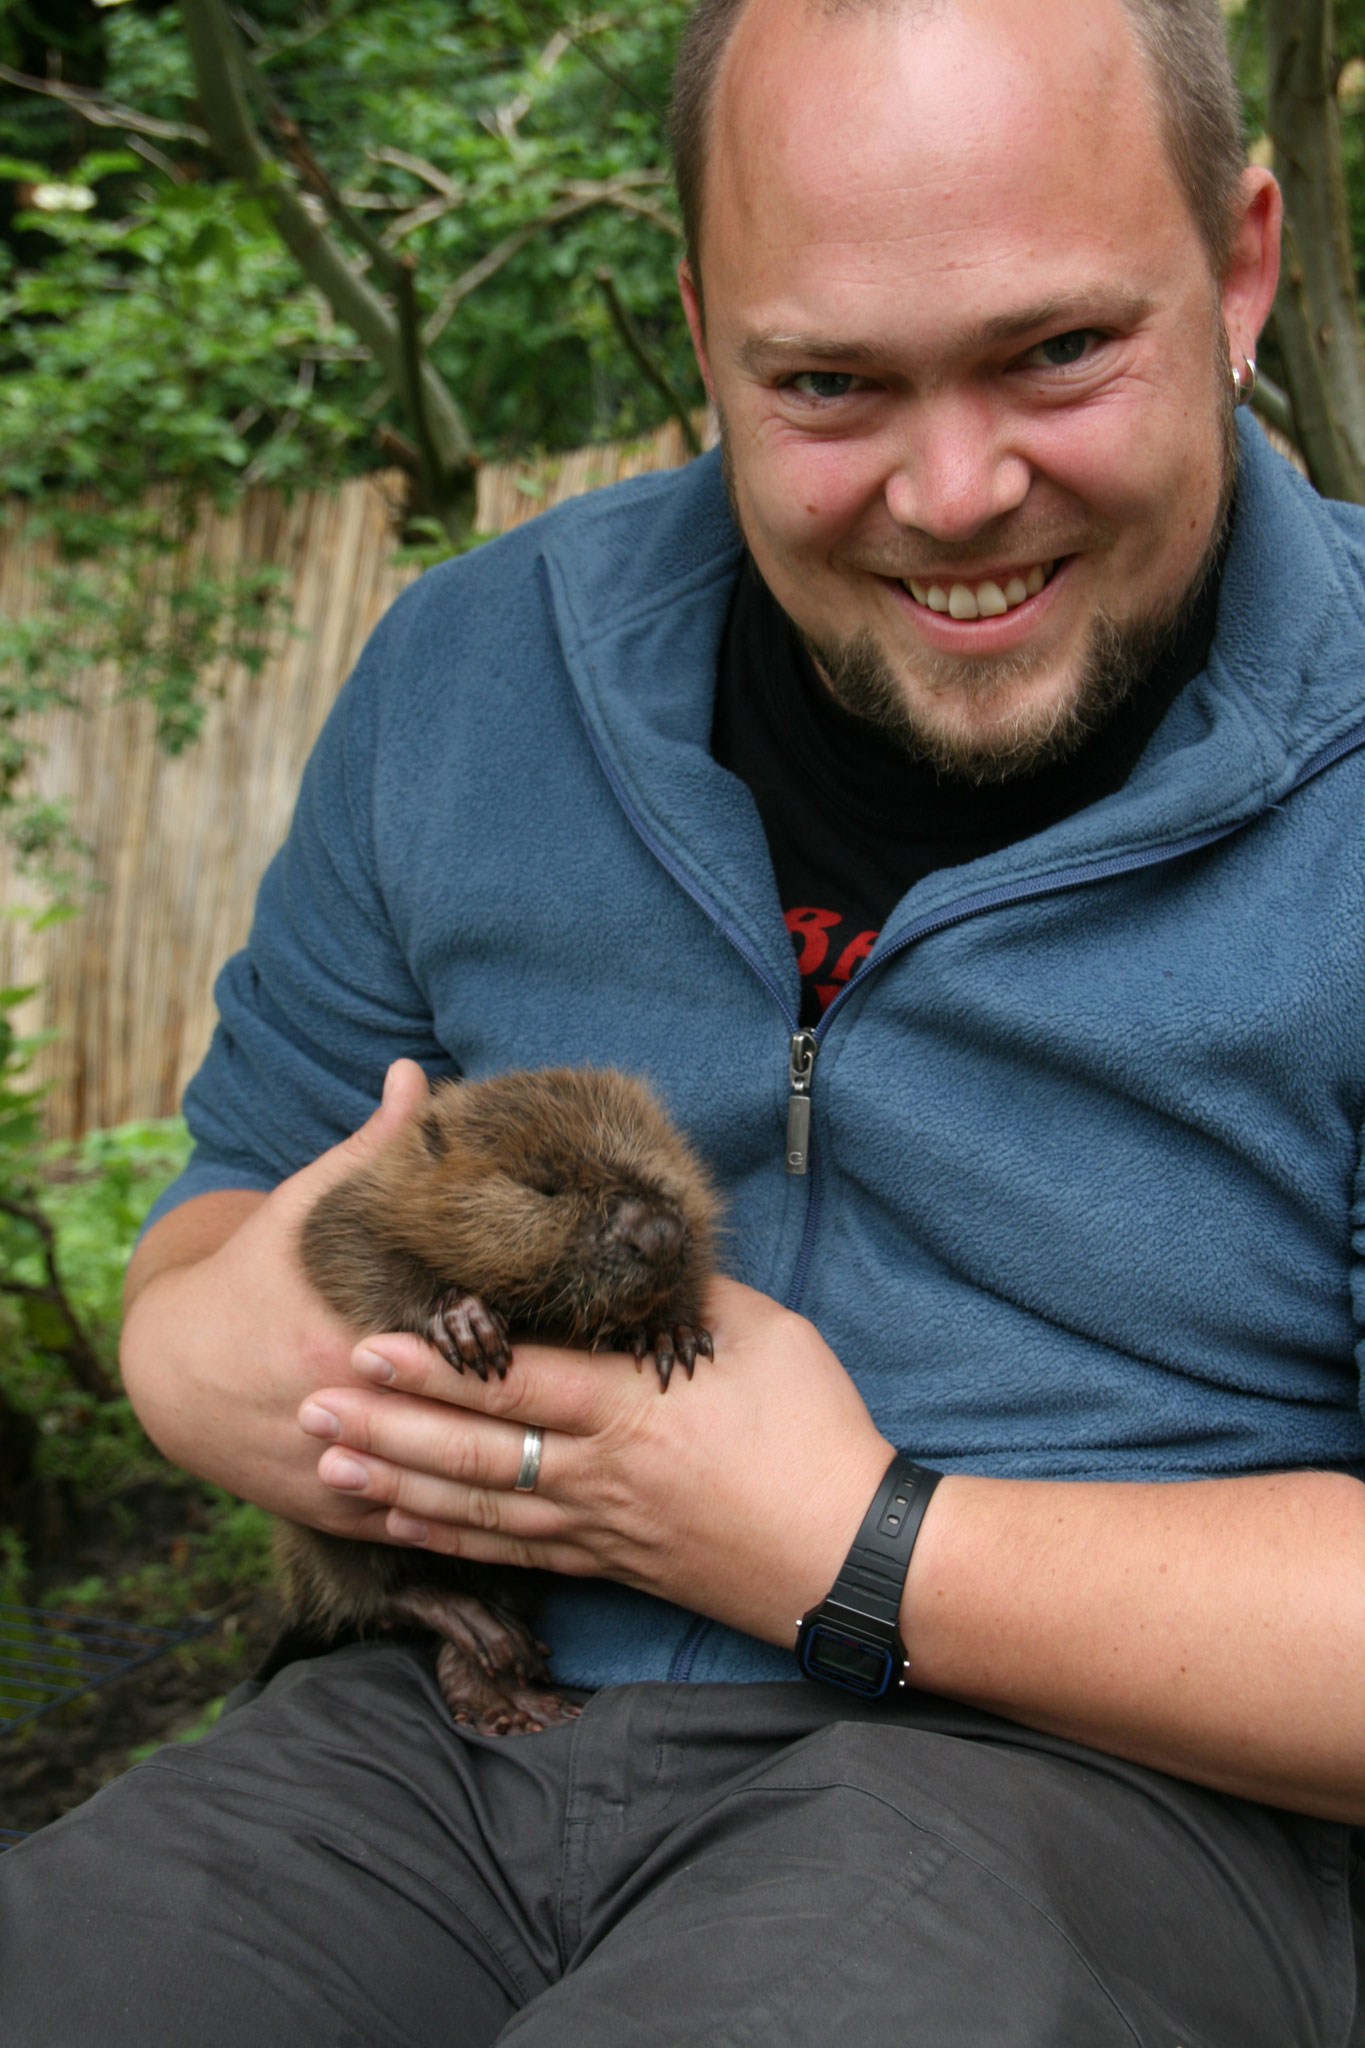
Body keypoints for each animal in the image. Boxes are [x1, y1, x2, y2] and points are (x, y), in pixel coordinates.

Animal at [282, 1064, 720, 1736]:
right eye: (543, 1185)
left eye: (653, 1161)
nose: (659, 1234)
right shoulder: (365, 1198)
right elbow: (340, 1244)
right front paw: (464, 1323)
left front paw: (668, 1331)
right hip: (320, 1524)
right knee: (377, 1593)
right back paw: (471, 1630)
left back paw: (511, 1691)